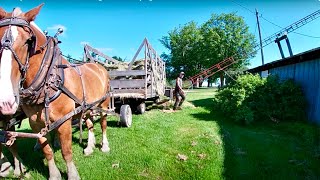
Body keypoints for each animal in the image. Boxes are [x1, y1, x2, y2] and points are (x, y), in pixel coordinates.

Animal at [0, 3, 111, 179]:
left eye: (28, 41)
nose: (6, 101)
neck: (48, 79)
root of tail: (98, 66)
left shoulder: (64, 120)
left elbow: (66, 151)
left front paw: (72, 174)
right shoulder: (35, 123)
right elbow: (47, 151)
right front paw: (53, 174)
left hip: (104, 104)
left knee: (103, 123)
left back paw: (104, 146)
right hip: (87, 106)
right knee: (89, 123)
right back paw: (89, 147)